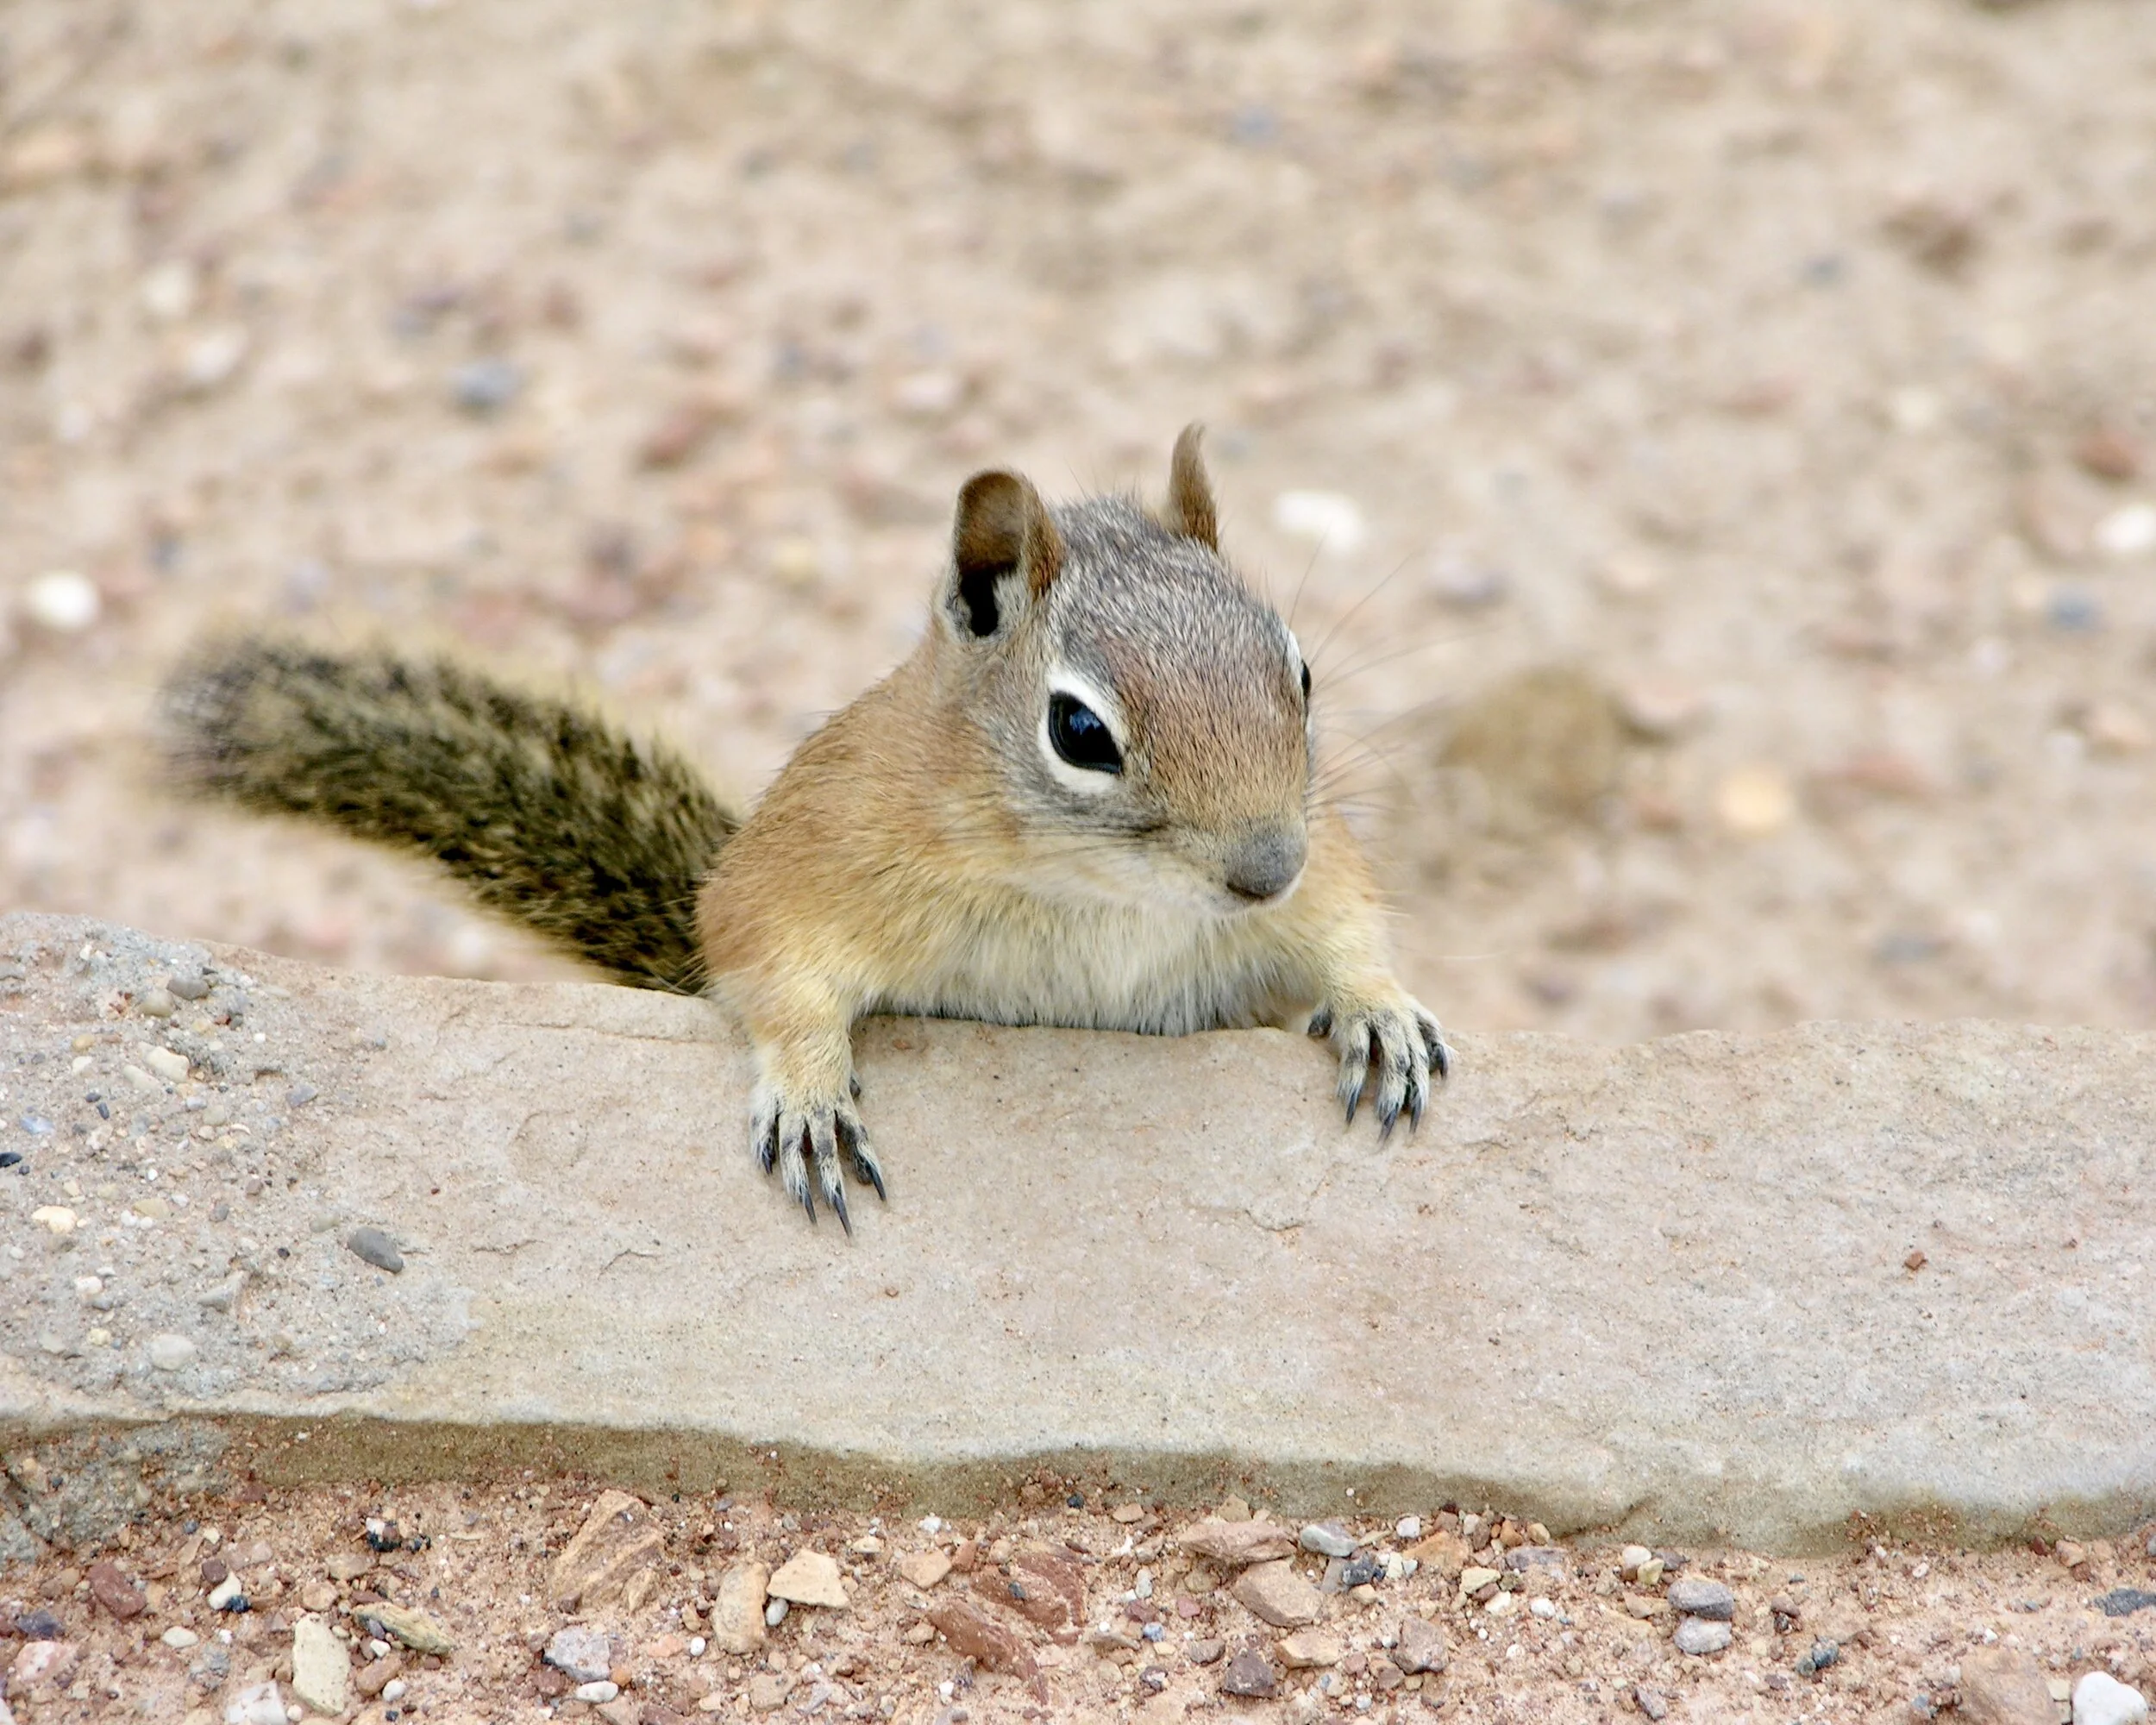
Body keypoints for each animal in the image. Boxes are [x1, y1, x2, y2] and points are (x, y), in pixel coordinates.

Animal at [160, 428, 1449, 1232]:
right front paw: (812, 1094)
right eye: (1080, 730)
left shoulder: (1319, 853)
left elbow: (1342, 918)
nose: (1262, 870)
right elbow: (759, 952)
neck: (1093, 895)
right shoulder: (816, 855)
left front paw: (1379, 1009)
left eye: (1301, 670)